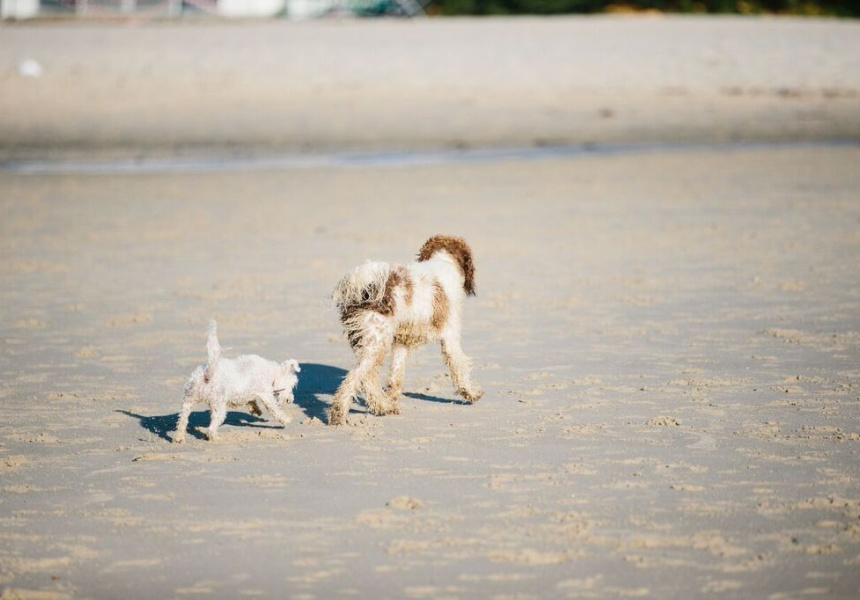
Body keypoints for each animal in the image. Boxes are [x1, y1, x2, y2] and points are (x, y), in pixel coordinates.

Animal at [329, 235, 483, 425]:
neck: (443, 262)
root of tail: (365, 285)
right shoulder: (450, 338)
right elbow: (459, 366)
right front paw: (471, 393)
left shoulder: (401, 343)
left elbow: (396, 377)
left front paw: (394, 405)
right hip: (376, 343)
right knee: (355, 379)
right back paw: (338, 414)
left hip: (366, 343)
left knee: (367, 377)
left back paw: (383, 406)